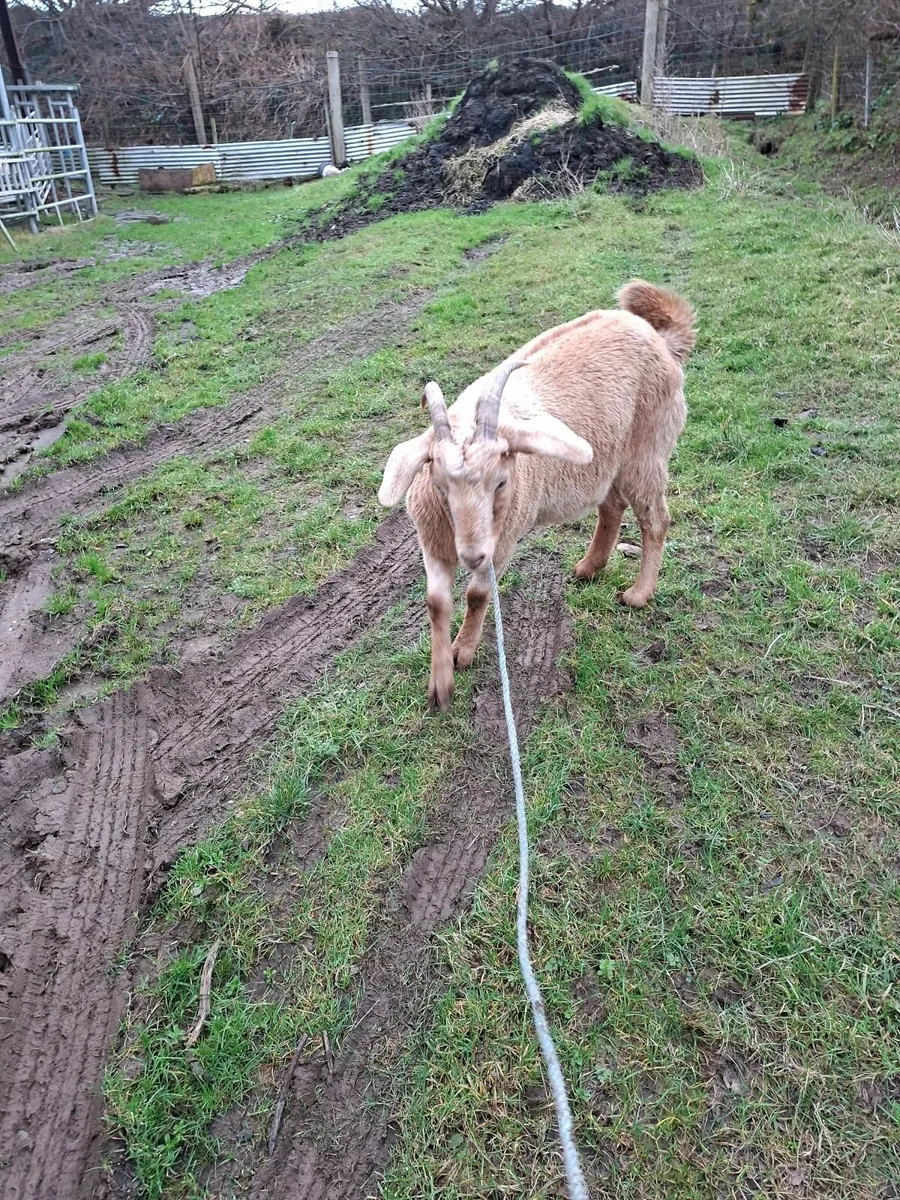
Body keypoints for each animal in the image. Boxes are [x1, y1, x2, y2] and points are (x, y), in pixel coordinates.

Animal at [378, 280, 697, 711]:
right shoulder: (433, 542)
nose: (473, 555)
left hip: (646, 450)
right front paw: (440, 684)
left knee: (655, 520)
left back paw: (638, 594)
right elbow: (436, 603)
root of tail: (659, 338)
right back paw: (589, 567)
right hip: (607, 458)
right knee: (612, 506)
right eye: (440, 485)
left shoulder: (503, 539)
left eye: (501, 482)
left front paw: (464, 651)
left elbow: (477, 595)